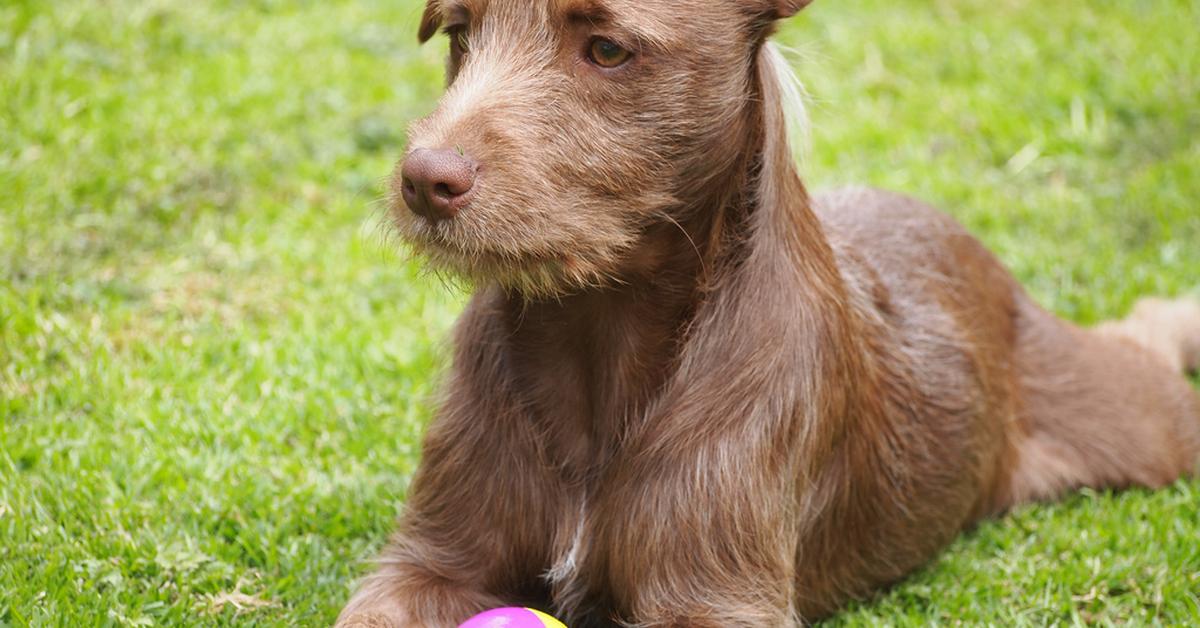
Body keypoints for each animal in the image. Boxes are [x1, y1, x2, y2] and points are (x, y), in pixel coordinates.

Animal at [336, 2, 1200, 624]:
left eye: (608, 50)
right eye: (460, 33)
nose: (424, 181)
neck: (595, 336)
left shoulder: (717, 598)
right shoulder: (428, 564)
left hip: (1136, 419)